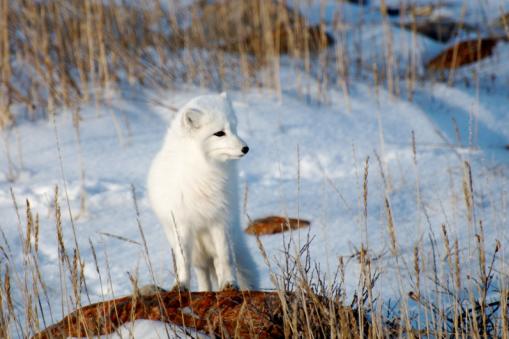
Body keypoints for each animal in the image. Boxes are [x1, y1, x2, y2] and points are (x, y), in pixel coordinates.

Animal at [147, 92, 258, 292]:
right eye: (219, 133)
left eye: (234, 128)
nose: (245, 148)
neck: (205, 171)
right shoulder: (182, 224)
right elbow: (183, 262)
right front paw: (181, 285)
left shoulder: (220, 219)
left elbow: (226, 258)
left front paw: (229, 283)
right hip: (197, 251)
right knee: (202, 271)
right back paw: (205, 291)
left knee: (217, 263)